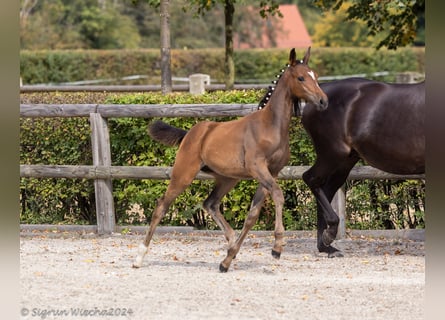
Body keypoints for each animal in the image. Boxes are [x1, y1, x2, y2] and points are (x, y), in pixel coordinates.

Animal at [131, 47, 326, 272]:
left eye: (316, 76)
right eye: (301, 77)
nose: (323, 101)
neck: (270, 126)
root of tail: (190, 133)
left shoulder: (272, 172)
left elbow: (252, 214)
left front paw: (227, 259)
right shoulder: (258, 168)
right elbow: (278, 195)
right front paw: (277, 246)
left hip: (227, 178)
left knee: (210, 203)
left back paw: (231, 243)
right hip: (184, 173)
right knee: (162, 205)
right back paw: (139, 257)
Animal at [300, 77, 424, 258]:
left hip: (345, 161)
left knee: (326, 190)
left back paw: (327, 247)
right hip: (332, 154)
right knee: (311, 179)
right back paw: (329, 236)